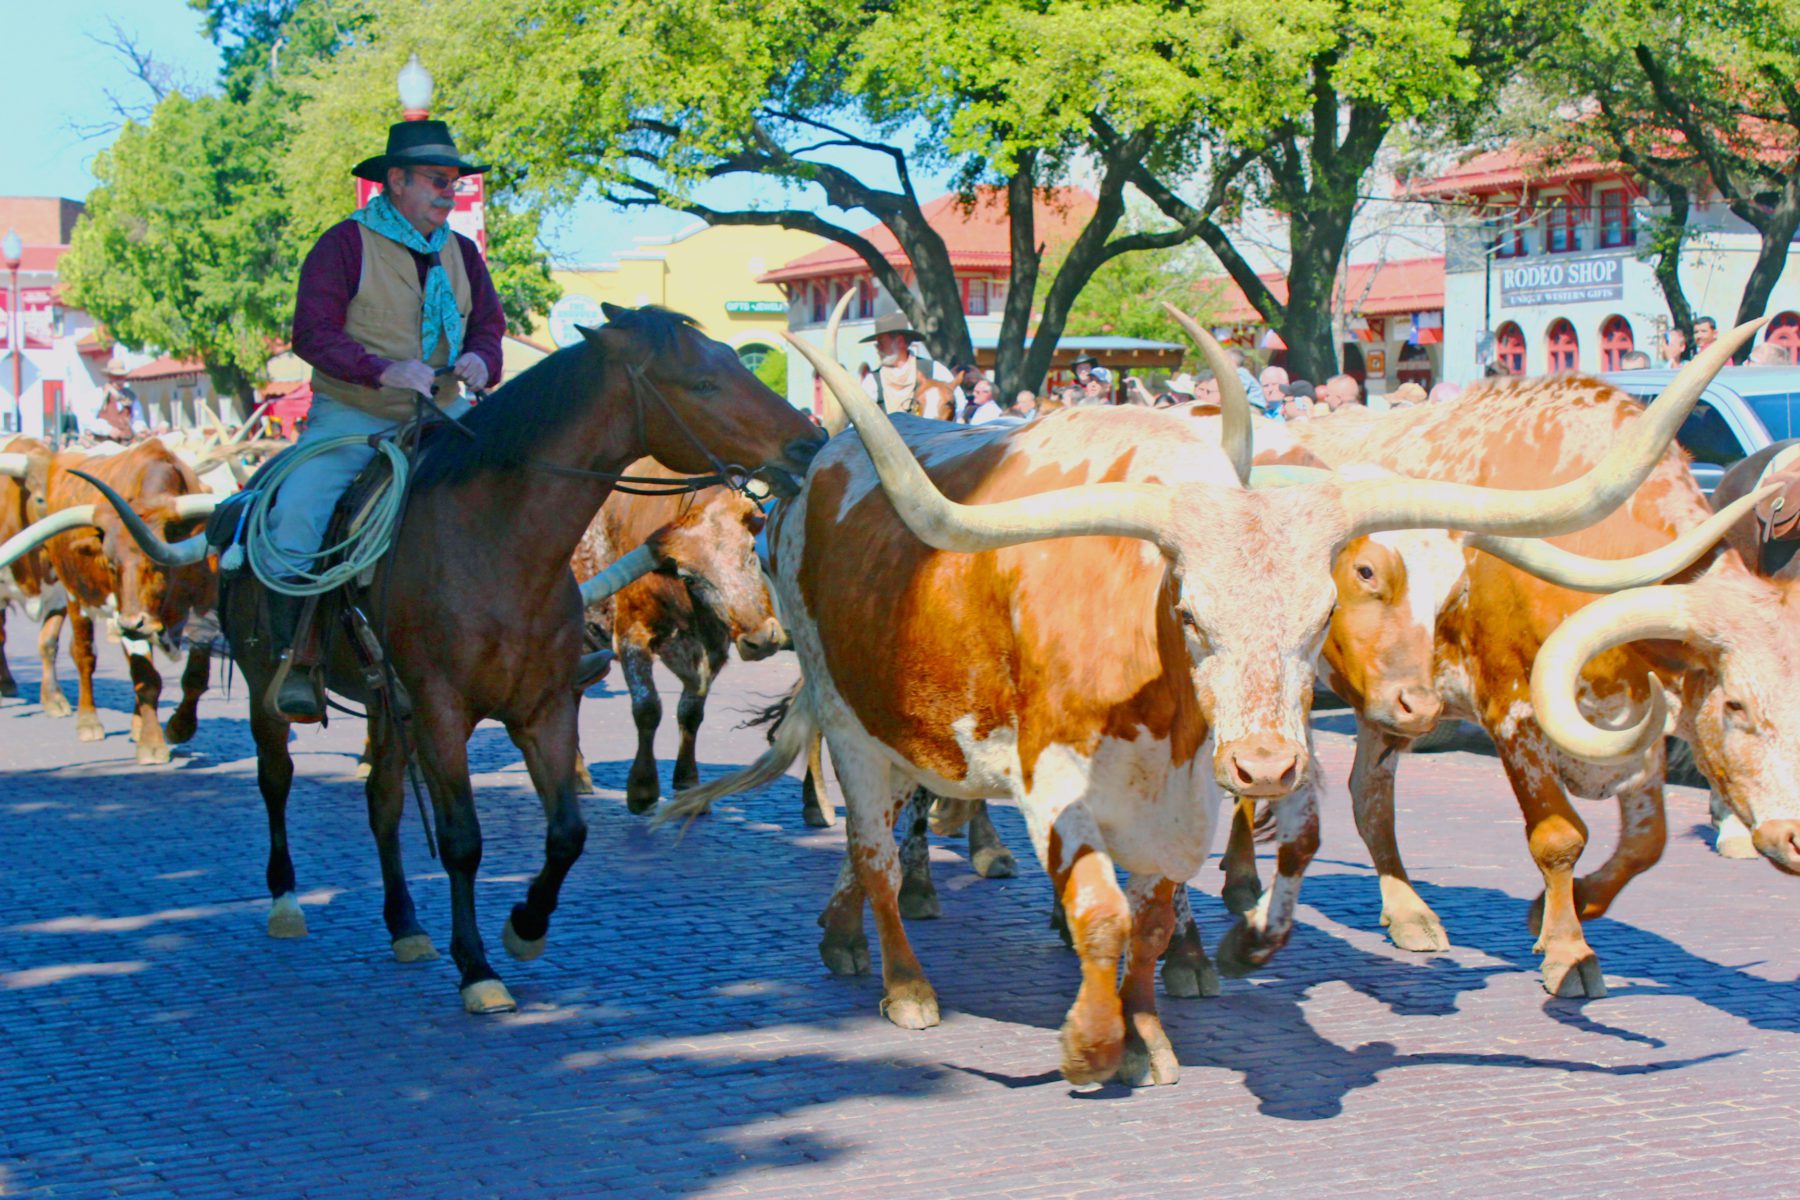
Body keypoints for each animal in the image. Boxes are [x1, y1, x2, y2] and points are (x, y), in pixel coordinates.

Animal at [94, 302, 824, 1014]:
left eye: (735, 359)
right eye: (701, 382)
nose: (810, 441)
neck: (500, 546)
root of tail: (241, 503)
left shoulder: (544, 707)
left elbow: (567, 832)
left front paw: (524, 926)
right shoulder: (441, 712)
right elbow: (462, 840)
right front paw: (476, 967)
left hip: (384, 703)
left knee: (383, 801)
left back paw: (405, 924)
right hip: (264, 686)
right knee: (275, 780)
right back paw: (285, 899)